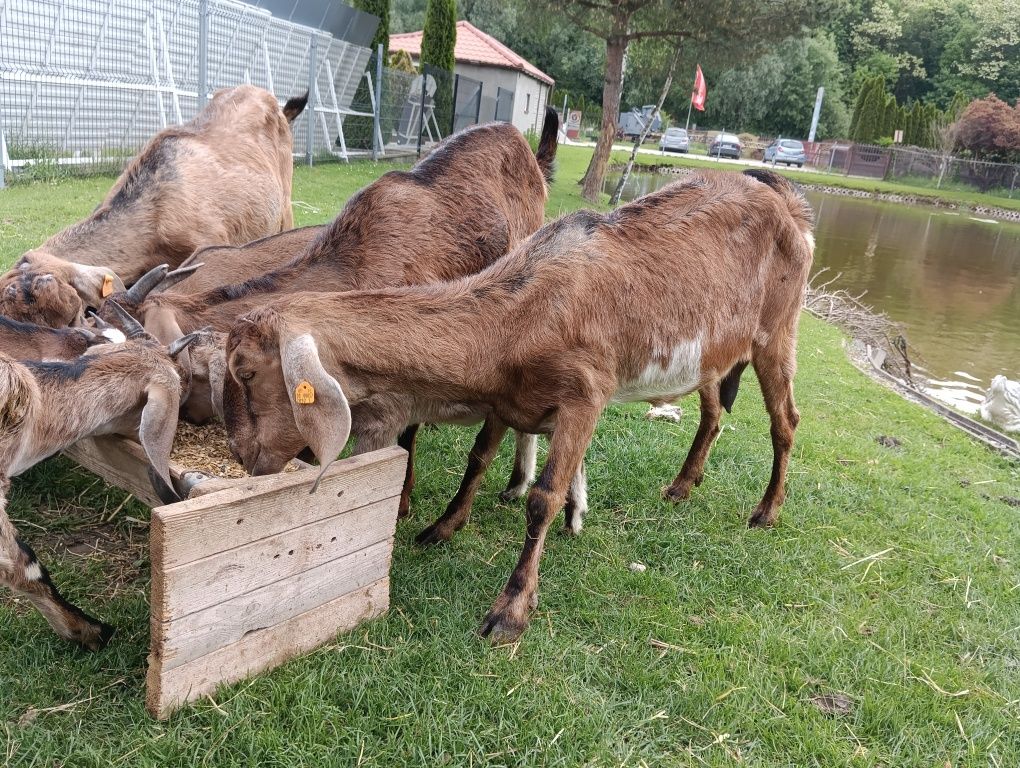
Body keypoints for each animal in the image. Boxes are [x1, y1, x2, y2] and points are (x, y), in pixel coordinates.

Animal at [221, 167, 811, 640]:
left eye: (245, 371)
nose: (244, 456)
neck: (518, 315)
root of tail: (787, 199)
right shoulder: (509, 399)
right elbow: (478, 459)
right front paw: (442, 528)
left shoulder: (585, 394)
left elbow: (543, 498)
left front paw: (510, 611)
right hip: (715, 353)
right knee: (712, 414)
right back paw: (683, 485)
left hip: (777, 331)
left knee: (786, 420)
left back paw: (767, 510)